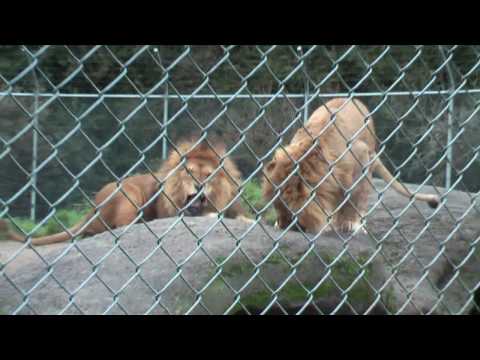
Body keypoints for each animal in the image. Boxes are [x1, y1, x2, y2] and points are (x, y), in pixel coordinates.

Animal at [0, 138, 251, 245]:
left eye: (208, 175)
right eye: (189, 173)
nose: (199, 186)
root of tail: (92, 208)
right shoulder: (171, 213)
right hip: (127, 193)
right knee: (118, 226)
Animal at [262, 97, 438, 235]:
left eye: (290, 210)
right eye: (276, 207)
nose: (284, 226)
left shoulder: (361, 156)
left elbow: (354, 197)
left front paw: (349, 224)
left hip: (369, 157)